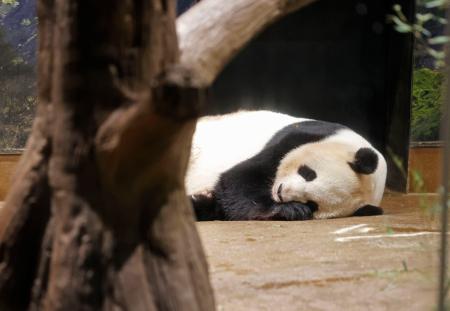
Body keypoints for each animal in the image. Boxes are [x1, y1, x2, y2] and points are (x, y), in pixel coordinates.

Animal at [185, 111, 386, 221]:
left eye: (312, 204)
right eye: (308, 173)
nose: (280, 192)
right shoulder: (299, 137)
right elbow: (238, 180)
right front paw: (288, 210)